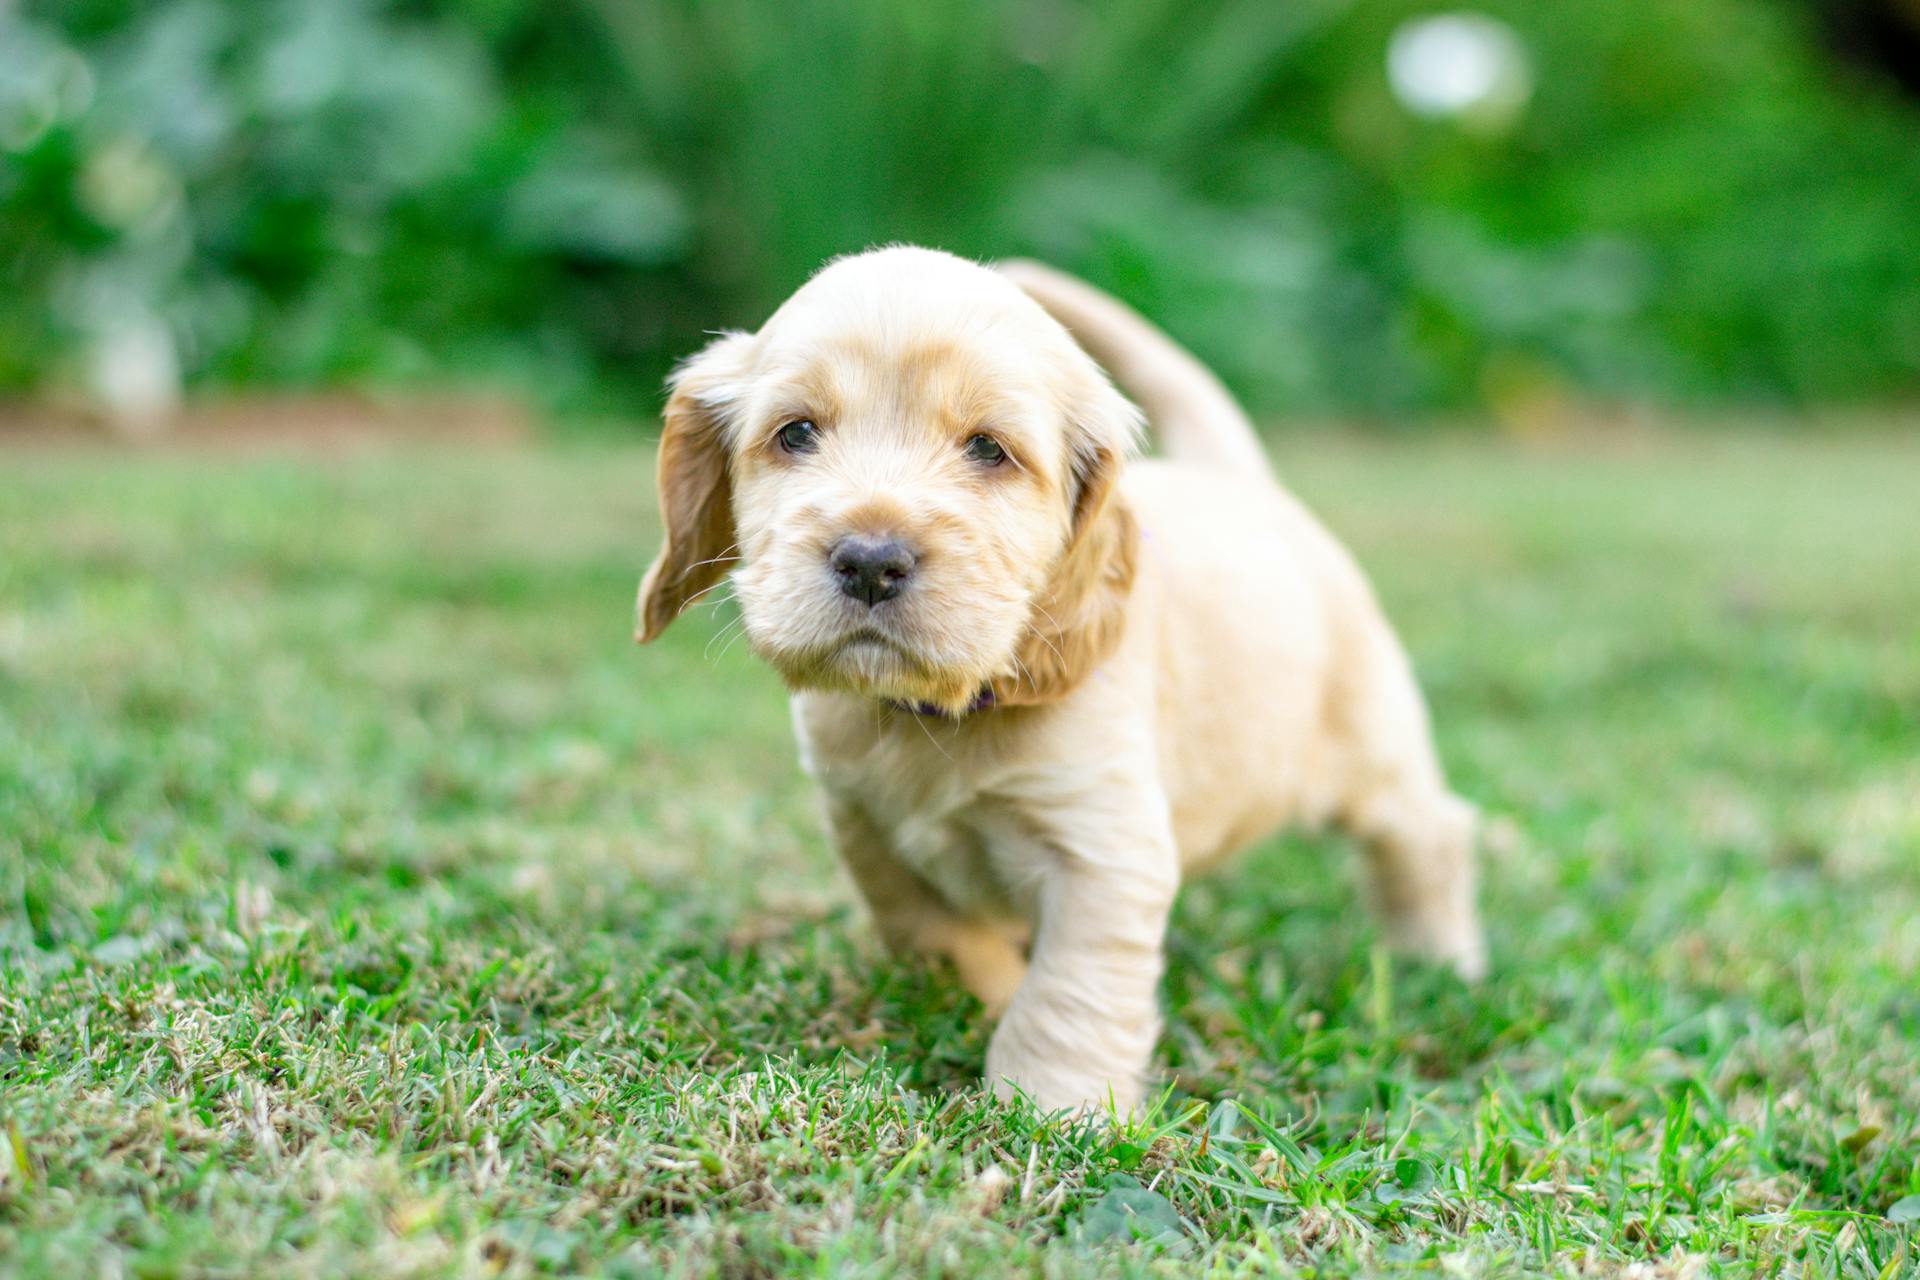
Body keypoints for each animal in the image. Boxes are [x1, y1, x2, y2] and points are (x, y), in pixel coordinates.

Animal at [637, 247, 1489, 1113]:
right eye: (797, 432)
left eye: (988, 449)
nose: (871, 562)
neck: (938, 715)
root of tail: (1245, 485)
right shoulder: (862, 824)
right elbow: (935, 930)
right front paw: (980, 995)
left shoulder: (1102, 850)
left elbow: (1067, 995)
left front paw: (1052, 1106)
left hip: (1371, 749)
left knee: (1430, 834)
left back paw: (1439, 957)